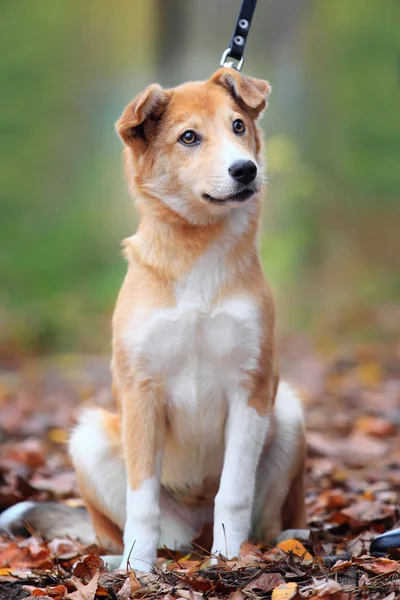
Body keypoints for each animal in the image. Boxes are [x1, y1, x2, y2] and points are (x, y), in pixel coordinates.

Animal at [0, 67, 306, 572]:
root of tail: (196, 530)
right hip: (89, 439)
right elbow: (141, 501)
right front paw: (138, 572)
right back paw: (121, 559)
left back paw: (282, 541)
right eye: (189, 137)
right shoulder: (142, 391)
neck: (198, 251)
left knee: (265, 519)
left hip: (288, 412)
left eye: (238, 125)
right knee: (141, 528)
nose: (246, 169)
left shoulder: (252, 387)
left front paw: (227, 560)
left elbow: (234, 492)